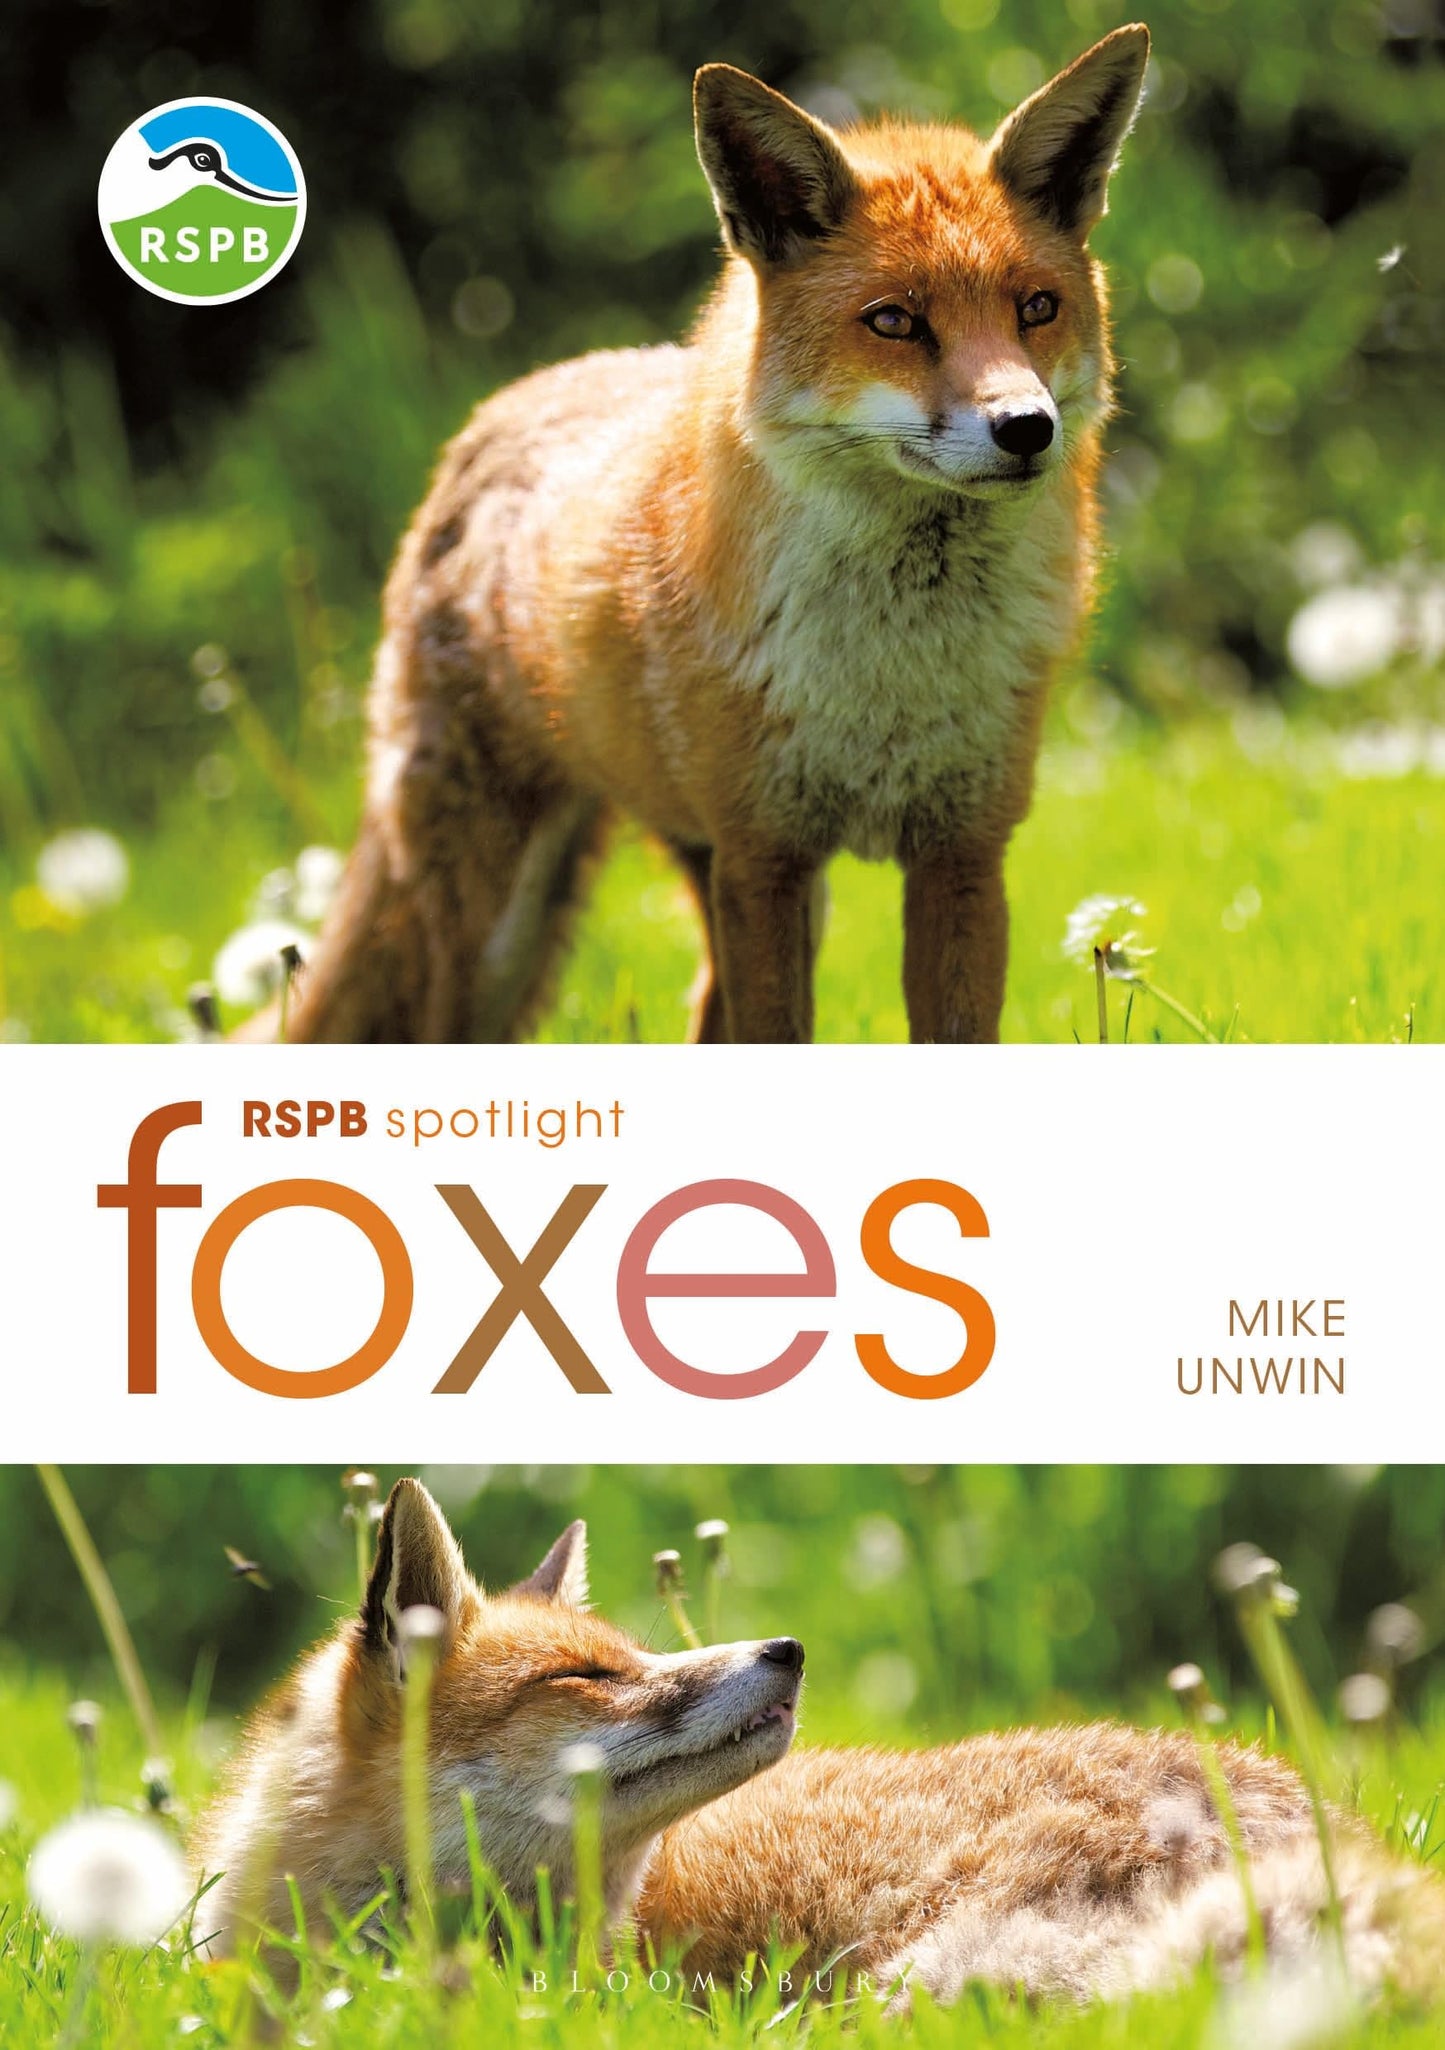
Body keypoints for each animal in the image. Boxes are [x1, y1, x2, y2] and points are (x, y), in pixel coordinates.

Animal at [283, 27, 1152, 1045]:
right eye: (895, 321)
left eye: (1035, 308)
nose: (1026, 428)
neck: (888, 670)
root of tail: (496, 413)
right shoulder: (764, 855)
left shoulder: (961, 853)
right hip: (499, 925)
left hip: (715, 878)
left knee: (702, 1014)